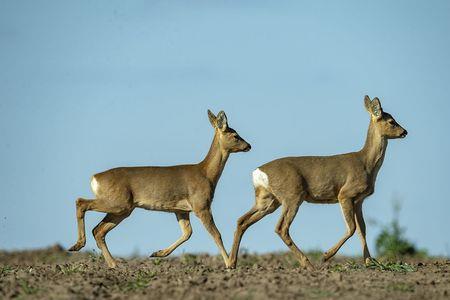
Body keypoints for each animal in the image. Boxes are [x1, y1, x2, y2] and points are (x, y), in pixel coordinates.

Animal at [67, 109, 250, 268]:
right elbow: (216, 234)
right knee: (81, 203)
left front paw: (158, 253)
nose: (249, 145)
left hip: (123, 209)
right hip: (118, 202)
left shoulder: (181, 210)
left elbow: (187, 233)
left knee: (98, 230)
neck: (206, 174)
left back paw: (113, 264)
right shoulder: (201, 206)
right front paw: (230, 264)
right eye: (235, 135)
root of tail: (95, 178)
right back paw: (78, 245)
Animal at [229, 96, 408, 270]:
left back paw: (232, 263)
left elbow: (362, 230)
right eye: (391, 121)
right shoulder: (345, 194)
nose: (405, 131)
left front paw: (369, 262)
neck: (366, 163)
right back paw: (308, 263)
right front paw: (326, 255)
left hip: (268, 200)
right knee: (281, 228)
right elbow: (351, 228)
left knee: (242, 221)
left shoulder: (359, 200)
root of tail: (257, 172)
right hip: (292, 195)